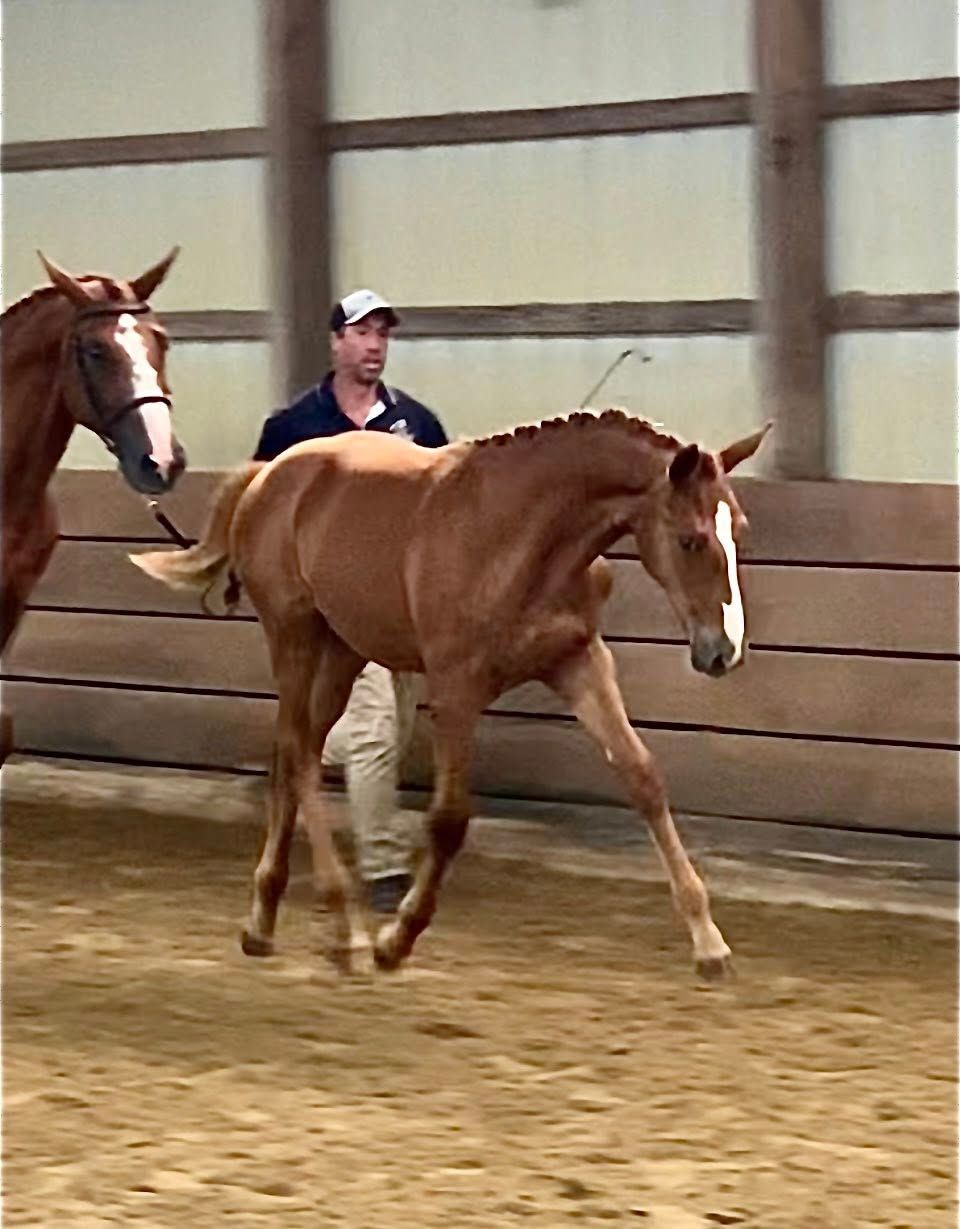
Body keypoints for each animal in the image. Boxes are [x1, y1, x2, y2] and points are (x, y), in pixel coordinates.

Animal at [131, 409, 771, 980]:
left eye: (738, 529)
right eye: (690, 540)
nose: (723, 651)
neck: (522, 538)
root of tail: (270, 472)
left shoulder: (578, 661)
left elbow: (643, 778)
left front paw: (710, 944)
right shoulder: (456, 687)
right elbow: (449, 818)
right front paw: (396, 940)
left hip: (344, 649)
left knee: (299, 752)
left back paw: (264, 923)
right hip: (294, 635)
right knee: (296, 752)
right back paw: (347, 931)